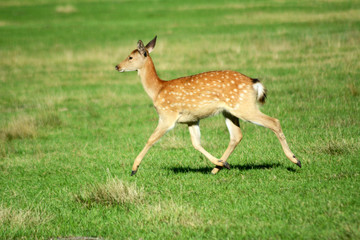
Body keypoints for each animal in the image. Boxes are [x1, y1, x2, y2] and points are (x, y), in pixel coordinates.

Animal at [115, 35, 300, 175]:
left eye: (130, 57)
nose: (117, 66)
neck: (158, 90)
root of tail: (254, 83)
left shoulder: (168, 115)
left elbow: (151, 139)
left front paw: (134, 168)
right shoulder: (191, 119)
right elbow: (196, 143)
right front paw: (221, 163)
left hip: (244, 106)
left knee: (274, 121)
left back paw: (295, 160)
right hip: (230, 111)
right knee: (236, 135)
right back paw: (217, 167)